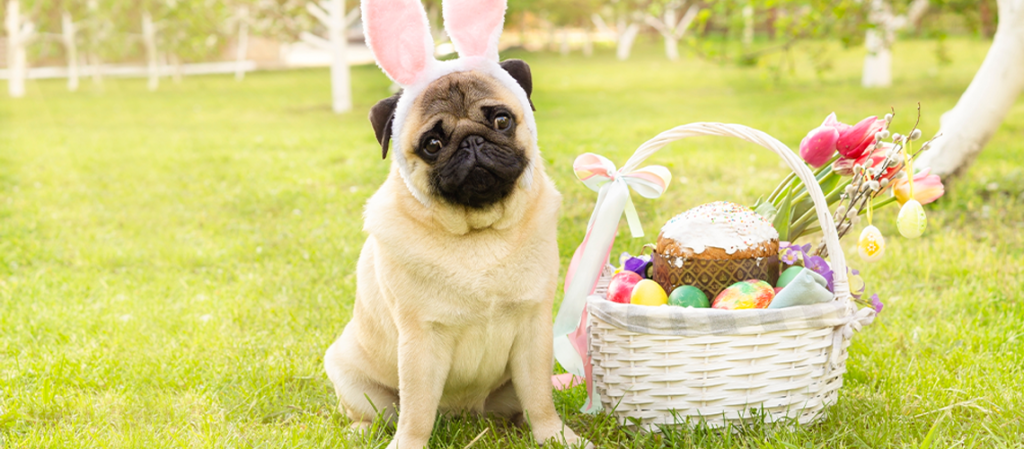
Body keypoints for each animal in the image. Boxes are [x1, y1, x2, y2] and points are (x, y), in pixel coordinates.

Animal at [323, 0, 589, 449]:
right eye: (432, 145)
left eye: (501, 121)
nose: (471, 141)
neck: (477, 233)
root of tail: (464, 413)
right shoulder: (420, 341)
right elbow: (416, 412)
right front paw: (408, 444)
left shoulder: (534, 330)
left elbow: (540, 396)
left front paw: (555, 436)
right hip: (352, 376)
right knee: (380, 412)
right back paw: (363, 429)